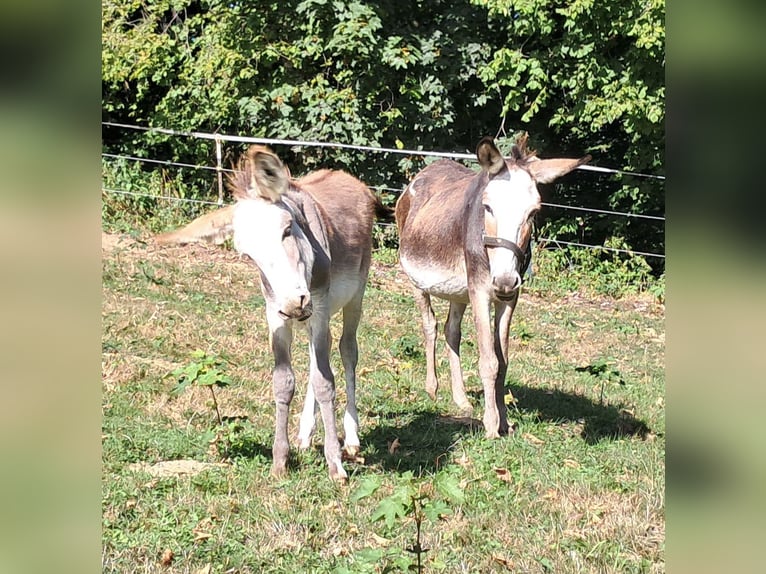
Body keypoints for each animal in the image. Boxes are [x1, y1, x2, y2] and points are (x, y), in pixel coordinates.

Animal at [229, 145, 380, 480]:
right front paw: (280, 460)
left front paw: (335, 464)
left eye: (286, 231)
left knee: (347, 352)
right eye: (248, 256)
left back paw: (351, 438)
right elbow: (284, 381)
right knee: (317, 361)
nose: (293, 303)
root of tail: (344, 175)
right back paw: (306, 433)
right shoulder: (276, 319)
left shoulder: (319, 310)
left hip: (354, 298)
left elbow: (325, 383)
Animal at [395, 134, 590, 438]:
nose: (505, 280)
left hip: (459, 292)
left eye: (533, 212)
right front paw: (490, 426)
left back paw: (461, 399)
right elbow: (489, 361)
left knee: (452, 331)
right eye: (488, 208)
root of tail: (424, 173)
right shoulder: (480, 292)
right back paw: (432, 389)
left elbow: (504, 360)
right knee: (430, 325)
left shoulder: (509, 299)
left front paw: (505, 422)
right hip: (416, 280)